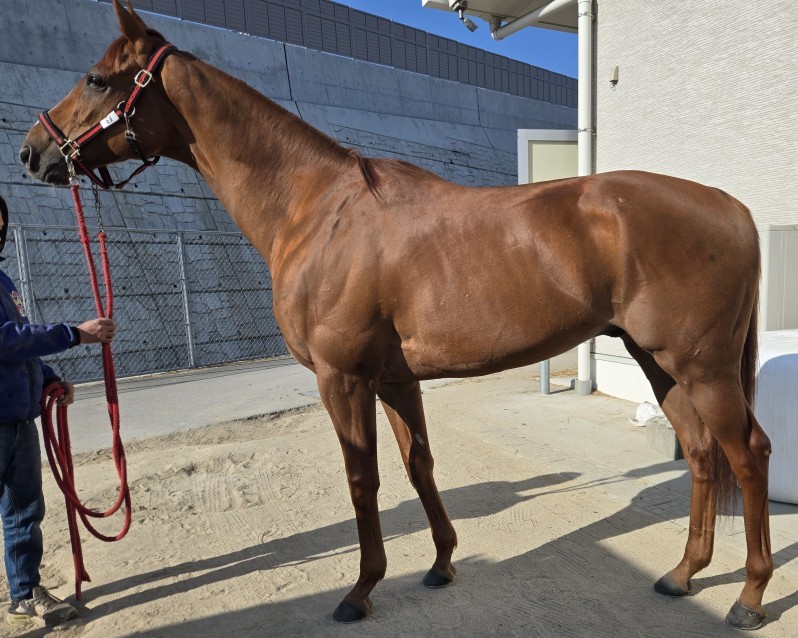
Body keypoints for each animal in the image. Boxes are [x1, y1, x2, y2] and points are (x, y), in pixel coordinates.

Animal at [20, 0, 773, 629]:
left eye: (96, 79)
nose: (33, 151)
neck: (317, 209)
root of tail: (731, 206)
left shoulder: (342, 378)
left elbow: (364, 480)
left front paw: (360, 590)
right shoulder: (394, 379)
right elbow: (420, 466)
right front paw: (441, 563)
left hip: (701, 367)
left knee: (748, 453)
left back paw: (749, 595)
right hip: (659, 362)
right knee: (702, 454)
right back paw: (682, 574)